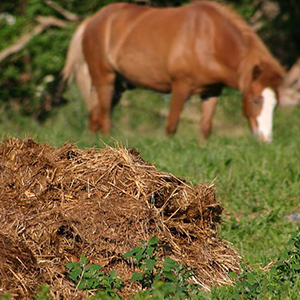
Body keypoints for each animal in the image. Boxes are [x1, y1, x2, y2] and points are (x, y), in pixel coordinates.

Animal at [62, 0, 284, 141]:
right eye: (256, 100)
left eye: (275, 104)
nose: (266, 139)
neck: (209, 38)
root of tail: (91, 20)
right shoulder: (180, 87)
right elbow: (171, 126)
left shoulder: (211, 91)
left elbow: (205, 128)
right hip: (104, 79)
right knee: (105, 116)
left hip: (118, 85)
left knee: (95, 115)